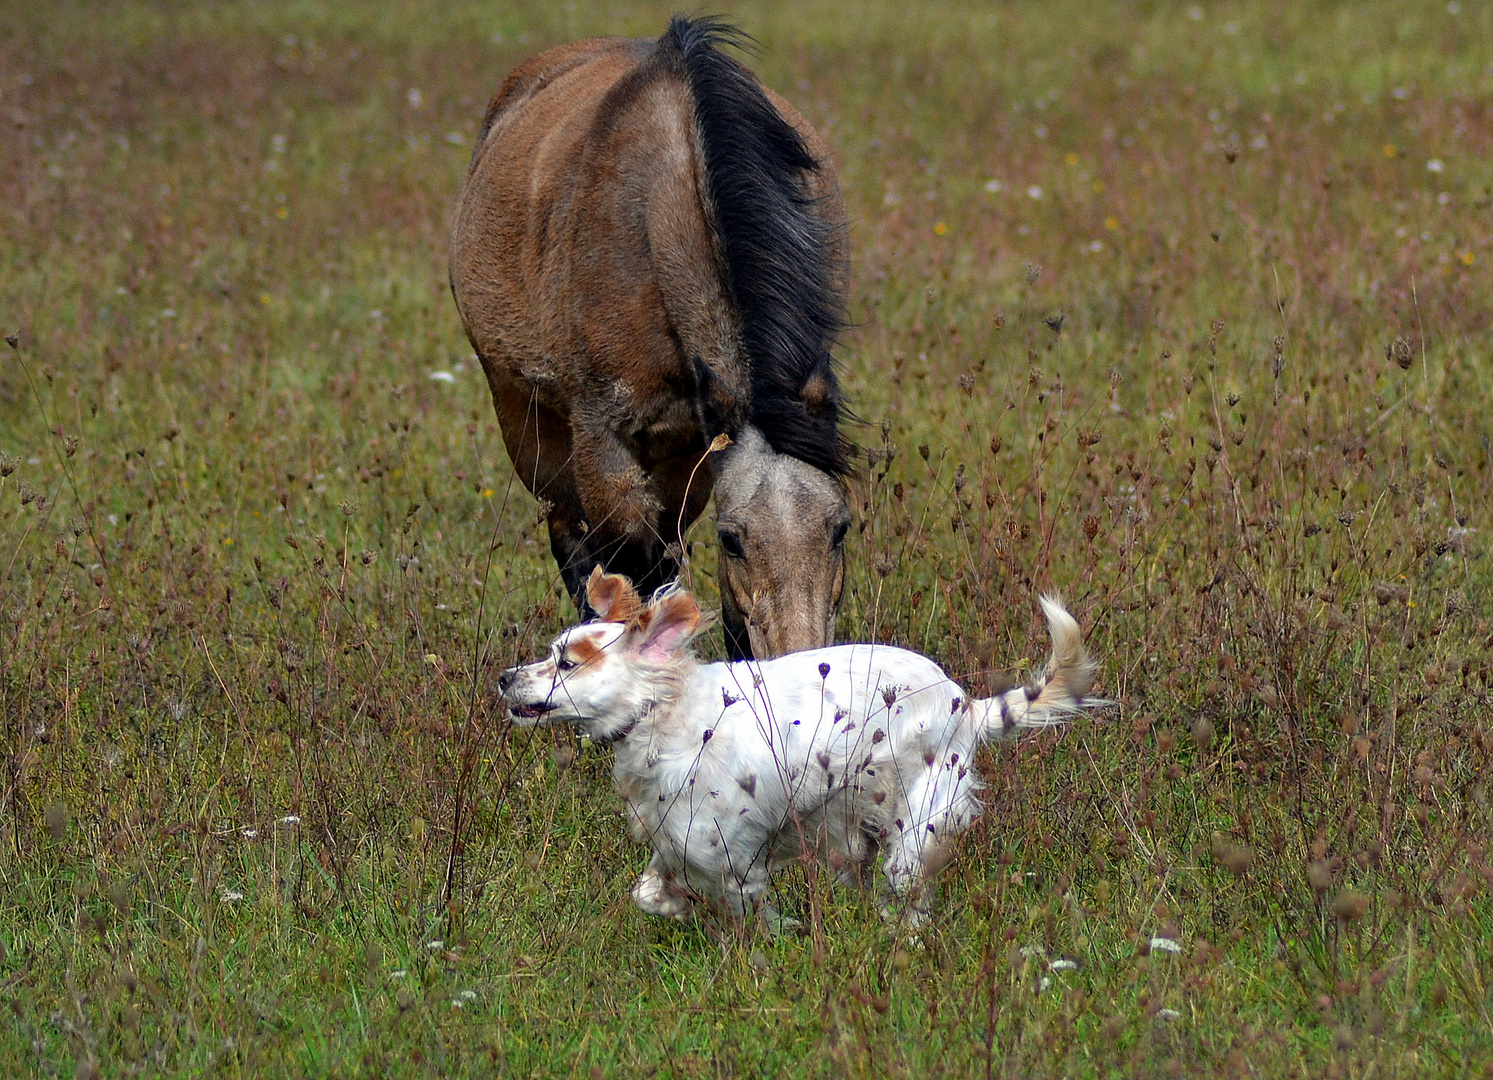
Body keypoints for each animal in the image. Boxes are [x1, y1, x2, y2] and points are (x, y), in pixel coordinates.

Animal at [447, 16, 853, 660]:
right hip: (529, 426)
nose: (808, 659)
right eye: (732, 539)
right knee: (574, 544)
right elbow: (623, 576)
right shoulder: (603, 444)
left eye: (840, 528)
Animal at [495, 564, 1104, 932]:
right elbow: (648, 892)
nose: (504, 678)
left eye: (566, 663)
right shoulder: (673, 840)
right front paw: (676, 906)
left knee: (907, 897)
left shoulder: (735, 856)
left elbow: (751, 918)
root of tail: (964, 702)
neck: (664, 715)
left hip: (915, 825)